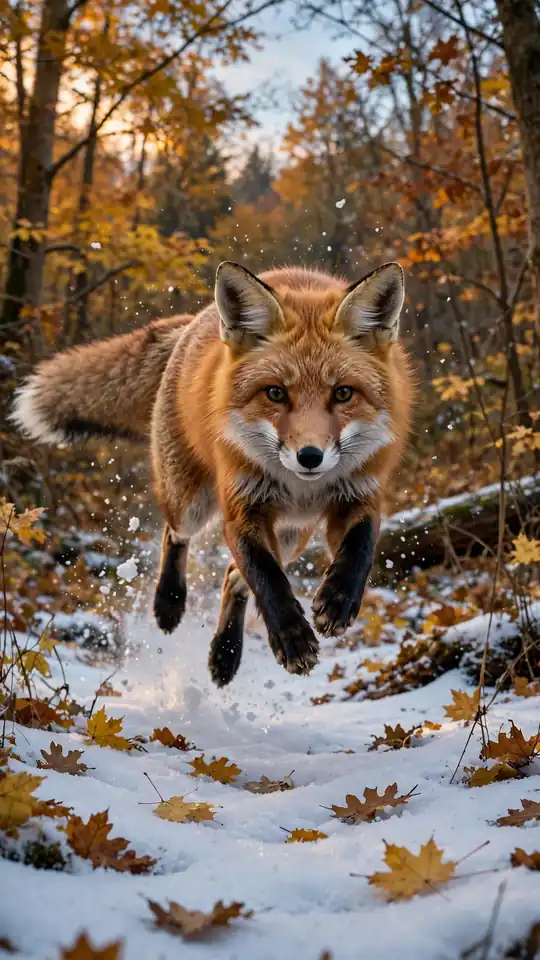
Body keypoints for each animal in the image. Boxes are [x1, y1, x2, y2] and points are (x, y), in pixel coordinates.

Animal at [12, 261, 414, 686]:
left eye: (343, 394)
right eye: (275, 393)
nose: (310, 457)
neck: (301, 487)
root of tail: (195, 319)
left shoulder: (359, 494)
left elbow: (360, 547)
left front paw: (338, 602)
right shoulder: (241, 507)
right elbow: (266, 577)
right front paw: (292, 639)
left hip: (293, 534)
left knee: (232, 576)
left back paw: (225, 653)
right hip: (192, 503)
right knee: (177, 535)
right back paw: (169, 602)